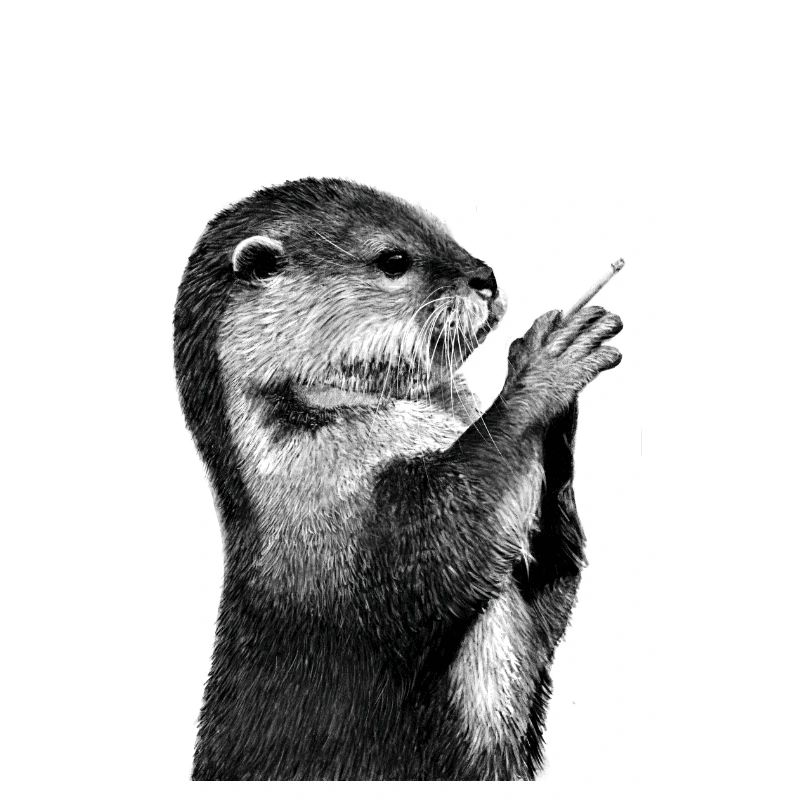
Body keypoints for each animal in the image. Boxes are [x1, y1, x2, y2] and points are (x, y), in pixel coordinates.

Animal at [173, 178, 622, 780]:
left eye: (445, 232)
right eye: (394, 259)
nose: (485, 276)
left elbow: (552, 580)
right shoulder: (340, 530)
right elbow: (453, 528)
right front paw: (543, 361)